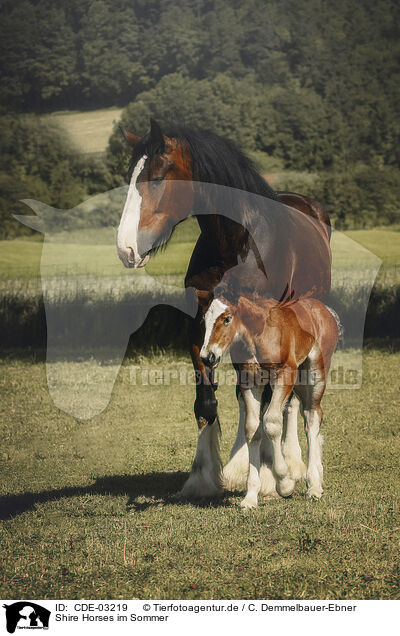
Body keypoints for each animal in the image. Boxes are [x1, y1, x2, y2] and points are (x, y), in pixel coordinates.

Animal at [116, 118, 332, 496]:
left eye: (156, 178)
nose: (126, 248)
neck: (239, 240)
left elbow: (267, 405)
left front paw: (272, 475)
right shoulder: (200, 329)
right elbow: (208, 401)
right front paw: (203, 477)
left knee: (291, 401)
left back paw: (292, 463)